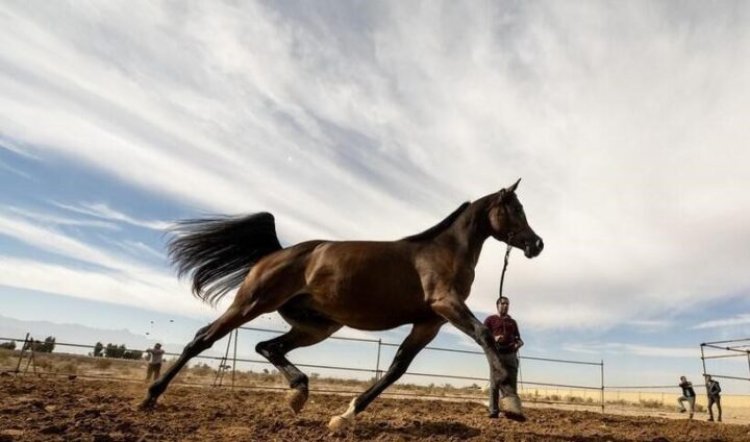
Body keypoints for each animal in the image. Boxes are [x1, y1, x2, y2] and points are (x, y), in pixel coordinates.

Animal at [141, 178, 544, 430]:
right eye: (515, 209)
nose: (536, 244)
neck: (443, 251)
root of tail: (275, 254)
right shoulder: (445, 304)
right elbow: (485, 337)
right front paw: (511, 402)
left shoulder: (429, 322)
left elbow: (397, 369)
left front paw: (346, 415)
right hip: (251, 304)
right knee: (203, 339)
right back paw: (150, 397)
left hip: (316, 326)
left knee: (267, 346)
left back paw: (298, 393)